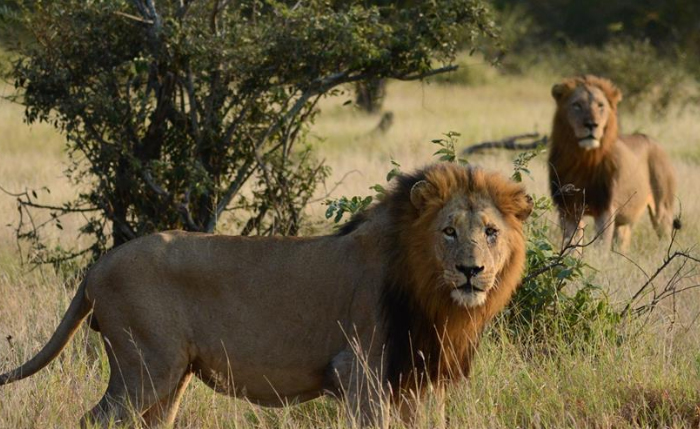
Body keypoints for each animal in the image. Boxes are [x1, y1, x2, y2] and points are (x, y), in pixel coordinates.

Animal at [0, 163, 532, 428]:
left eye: (490, 232)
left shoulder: (418, 380)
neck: (430, 295)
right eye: (448, 231)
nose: (471, 271)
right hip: (144, 369)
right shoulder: (359, 370)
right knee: (93, 420)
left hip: (170, 378)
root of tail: (97, 267)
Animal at [549, 75, 678, 251]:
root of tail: (654, 141)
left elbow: (601, 247)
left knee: (664, 235)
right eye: (577, 105)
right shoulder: (567, 208)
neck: (584, 158)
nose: (591, 124)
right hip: (625, 221)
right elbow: (571, 245)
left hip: (662, 209)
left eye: (600, 105)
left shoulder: (606, 208)